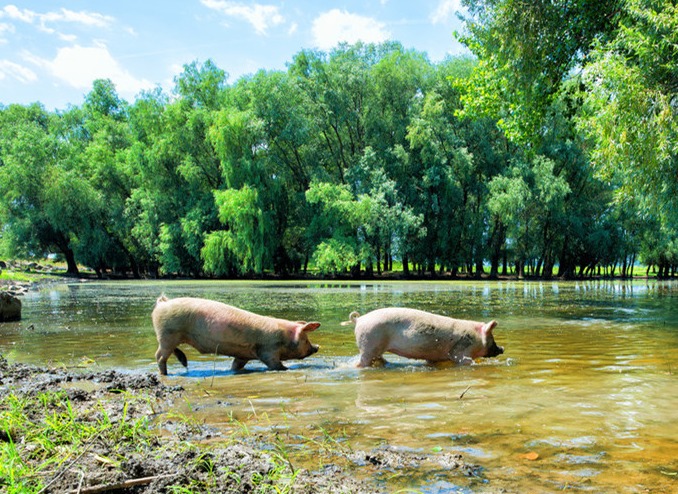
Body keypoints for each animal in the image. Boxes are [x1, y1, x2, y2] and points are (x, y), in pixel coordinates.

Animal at [153, 296, 322, 376]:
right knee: (159, 356)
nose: (317, 347)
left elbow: (236, 365)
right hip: (167, 335)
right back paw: (165, 374)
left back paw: (183, 363)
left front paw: (232, 371)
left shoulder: (243, 355)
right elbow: (275, 365)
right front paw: (286, 369)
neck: (284, 336)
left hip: (171, 337)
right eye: (306, 339)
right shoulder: (268, 350)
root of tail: (162, 303)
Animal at [342, 306, 502, 368]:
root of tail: (359, 319)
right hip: (368, 343)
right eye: (492, 339)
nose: (502, 348)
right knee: (361, 362)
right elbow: (464, 361)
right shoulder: (460, 351)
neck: (476, 338)